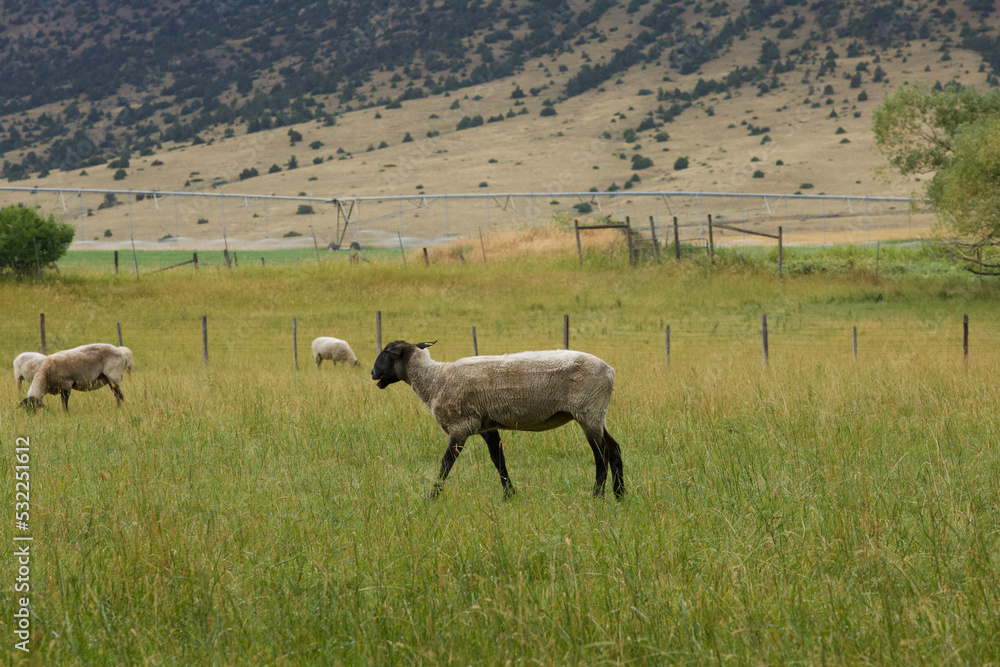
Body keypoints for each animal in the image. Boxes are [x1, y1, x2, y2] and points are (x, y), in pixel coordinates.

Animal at [371, 340, 625, 500]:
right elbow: (498, 459)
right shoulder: (486, 425)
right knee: (614, 449)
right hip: (596, 413)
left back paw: (597, 496)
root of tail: (610, 371)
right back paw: (620, 495)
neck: (435, 380)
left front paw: (431, 497)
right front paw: (509, 495)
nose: (373, 373)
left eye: (386, 353)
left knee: (601, 454)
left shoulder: (460, 426)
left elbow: (446, 463)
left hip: (587, 410)